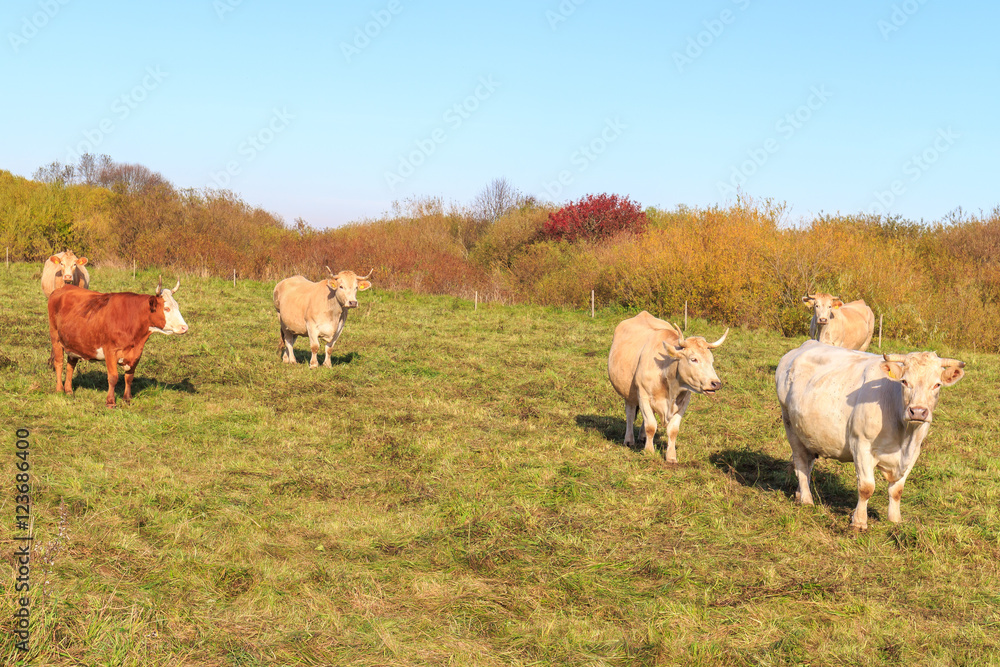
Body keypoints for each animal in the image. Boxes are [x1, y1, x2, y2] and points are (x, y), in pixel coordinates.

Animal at [48, 279, 189, 407]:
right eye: (167, 308)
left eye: (177, 306)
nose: (184, 327)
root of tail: (62, 288)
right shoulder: (110, 351)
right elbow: (113, 377)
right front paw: (110, 402)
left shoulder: (136, 353)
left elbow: (129, 377)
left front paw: (127, 398)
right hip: (55, 338)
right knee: (59, 363)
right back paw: (59, 389)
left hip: (73, 343)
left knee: (70, 365)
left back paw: (69, 390)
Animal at [607, 311, 729, 463]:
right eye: (693, 359)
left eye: (711, 360)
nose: (716, 383)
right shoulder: (643, 395)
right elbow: (651, 425)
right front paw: (649, 452)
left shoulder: (684, 401)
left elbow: (673, 429)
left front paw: (671, 456)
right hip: (628, 393)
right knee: (630, 413)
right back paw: (629, 440)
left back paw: (642, 437)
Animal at [776, 340, 965, 530]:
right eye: (904, 381)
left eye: (937, 384)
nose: (918, 411)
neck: (904, 436)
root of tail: (806, 345)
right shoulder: (861, 445)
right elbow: (866, 488)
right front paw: (859, 522)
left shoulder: (914, 452)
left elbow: (897, 490)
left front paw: (895, 519)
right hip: (789, 424)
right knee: (800, 462)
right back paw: (807, 500)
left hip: (809, 434)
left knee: (807, 464)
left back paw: (800, 493)